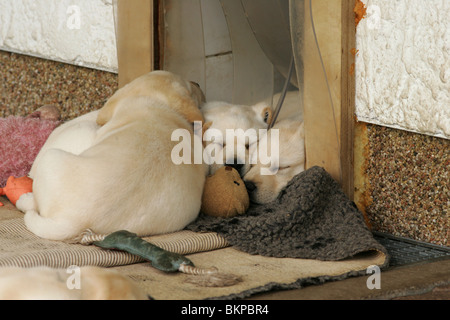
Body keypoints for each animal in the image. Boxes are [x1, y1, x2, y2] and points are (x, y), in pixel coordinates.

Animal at [17, 70, 207, 240]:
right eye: (190, 87)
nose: (198, 83)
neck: (158, 105)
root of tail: (72, 222)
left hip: (52, 157)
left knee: (33, 203)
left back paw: (24, 198)